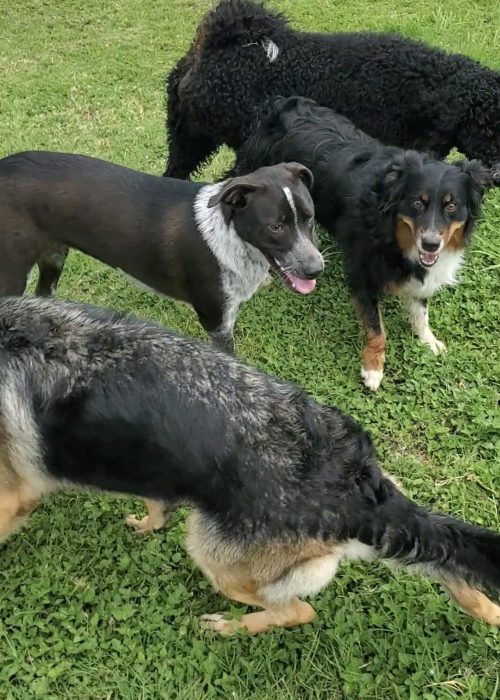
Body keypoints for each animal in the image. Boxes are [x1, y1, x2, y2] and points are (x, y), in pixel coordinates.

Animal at [0, 150, 324, 352]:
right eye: (276, 227)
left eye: (310, 218)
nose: (316, 269)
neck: (229, 235)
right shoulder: (217, 322)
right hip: (11, 276)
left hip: (54, 257)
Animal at [0, 296, 500, 636]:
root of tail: (353, 484)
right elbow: (155, 499)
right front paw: (148, 523)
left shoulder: (14, 498)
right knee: (459, 580)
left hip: (213, 555)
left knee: (297, 611)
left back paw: (230, 627)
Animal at [230, 98, 492, 392]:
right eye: (417, 202)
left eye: (452, 205)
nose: (431, 244)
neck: (388, 225)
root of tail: (281, 103)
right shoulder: (362, 271)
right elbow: (376, 327)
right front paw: (373, 368)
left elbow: (421, 309)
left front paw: (428, 339)